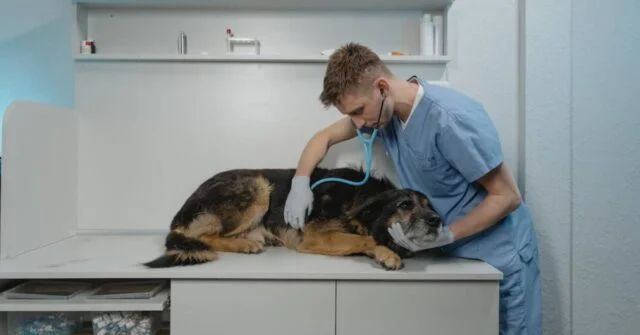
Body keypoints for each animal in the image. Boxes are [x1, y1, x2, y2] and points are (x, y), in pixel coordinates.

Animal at [144, 167, 444, 272]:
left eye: (430, 206)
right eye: (405, 205)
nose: (437, 220)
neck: (361, 197)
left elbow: (363, 239)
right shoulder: (315, 236)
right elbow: (366, 239)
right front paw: (387, 253)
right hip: (258, 185)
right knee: (201, 236)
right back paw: (244, 245)